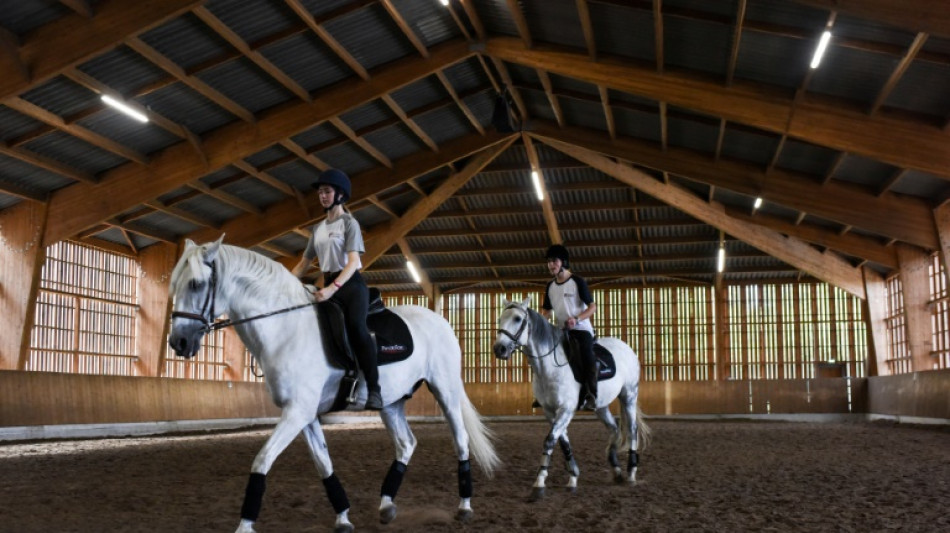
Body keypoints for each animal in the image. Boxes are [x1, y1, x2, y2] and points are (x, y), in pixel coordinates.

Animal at [170, 238, 502, 532]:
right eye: (174, 285)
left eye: (196, 284)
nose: (178, 343)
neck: (286, 329)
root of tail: (440, 321)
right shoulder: (304, 414)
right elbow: (323, 464)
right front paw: (343, 518)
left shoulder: (297, 412)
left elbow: (262, 460)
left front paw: (245, 525)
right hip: (391, 402)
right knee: (406, 443)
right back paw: (386, 506)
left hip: (445, 391)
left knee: (460, 441)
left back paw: (464, 507)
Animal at [494, 298, 652, 496]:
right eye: (500, 319)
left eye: (517, 318)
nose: (499, 349)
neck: (549, 367)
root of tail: (626, 347)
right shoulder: (550, 412)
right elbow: (562, 442)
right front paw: (573, 476)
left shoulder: (566, 410)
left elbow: (550, 441)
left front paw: (539, 481)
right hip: (600, 406)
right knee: (615, 428)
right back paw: (616, 470)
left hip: (629, 395)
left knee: (631, 429)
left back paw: (631, 472)